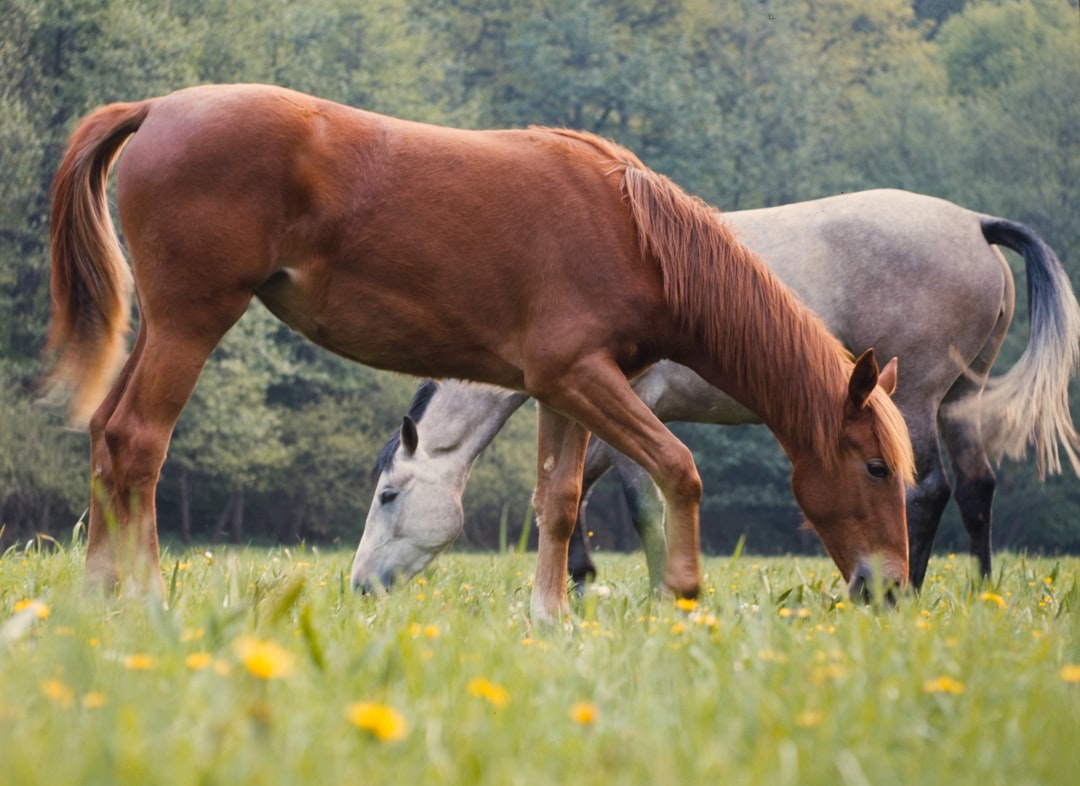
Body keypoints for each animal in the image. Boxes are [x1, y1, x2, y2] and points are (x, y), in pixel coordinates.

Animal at [46, 84, 913, 624]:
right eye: (875, 468)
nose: (892, 590)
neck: (634, 234)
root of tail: (157, 108)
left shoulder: (566, 389)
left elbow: (559, 502)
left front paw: (550, 617)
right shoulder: (580, 377)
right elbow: (678, 467)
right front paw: (683, 591)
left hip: (161, 328)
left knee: (106, 439)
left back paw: (95, 601)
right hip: (191, 322)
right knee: (138, 444)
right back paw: (148, 603)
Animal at [351, 190, 1080, 593]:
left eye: (389, 496)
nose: (359, 588)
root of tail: (974, 223)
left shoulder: (630, 406)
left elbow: (636, 500)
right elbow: (571, 492)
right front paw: (584, 582)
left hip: (913, 399)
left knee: (926, 489)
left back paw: (907, 588)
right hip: (959, 397)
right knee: (978, 488)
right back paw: (978, 593)